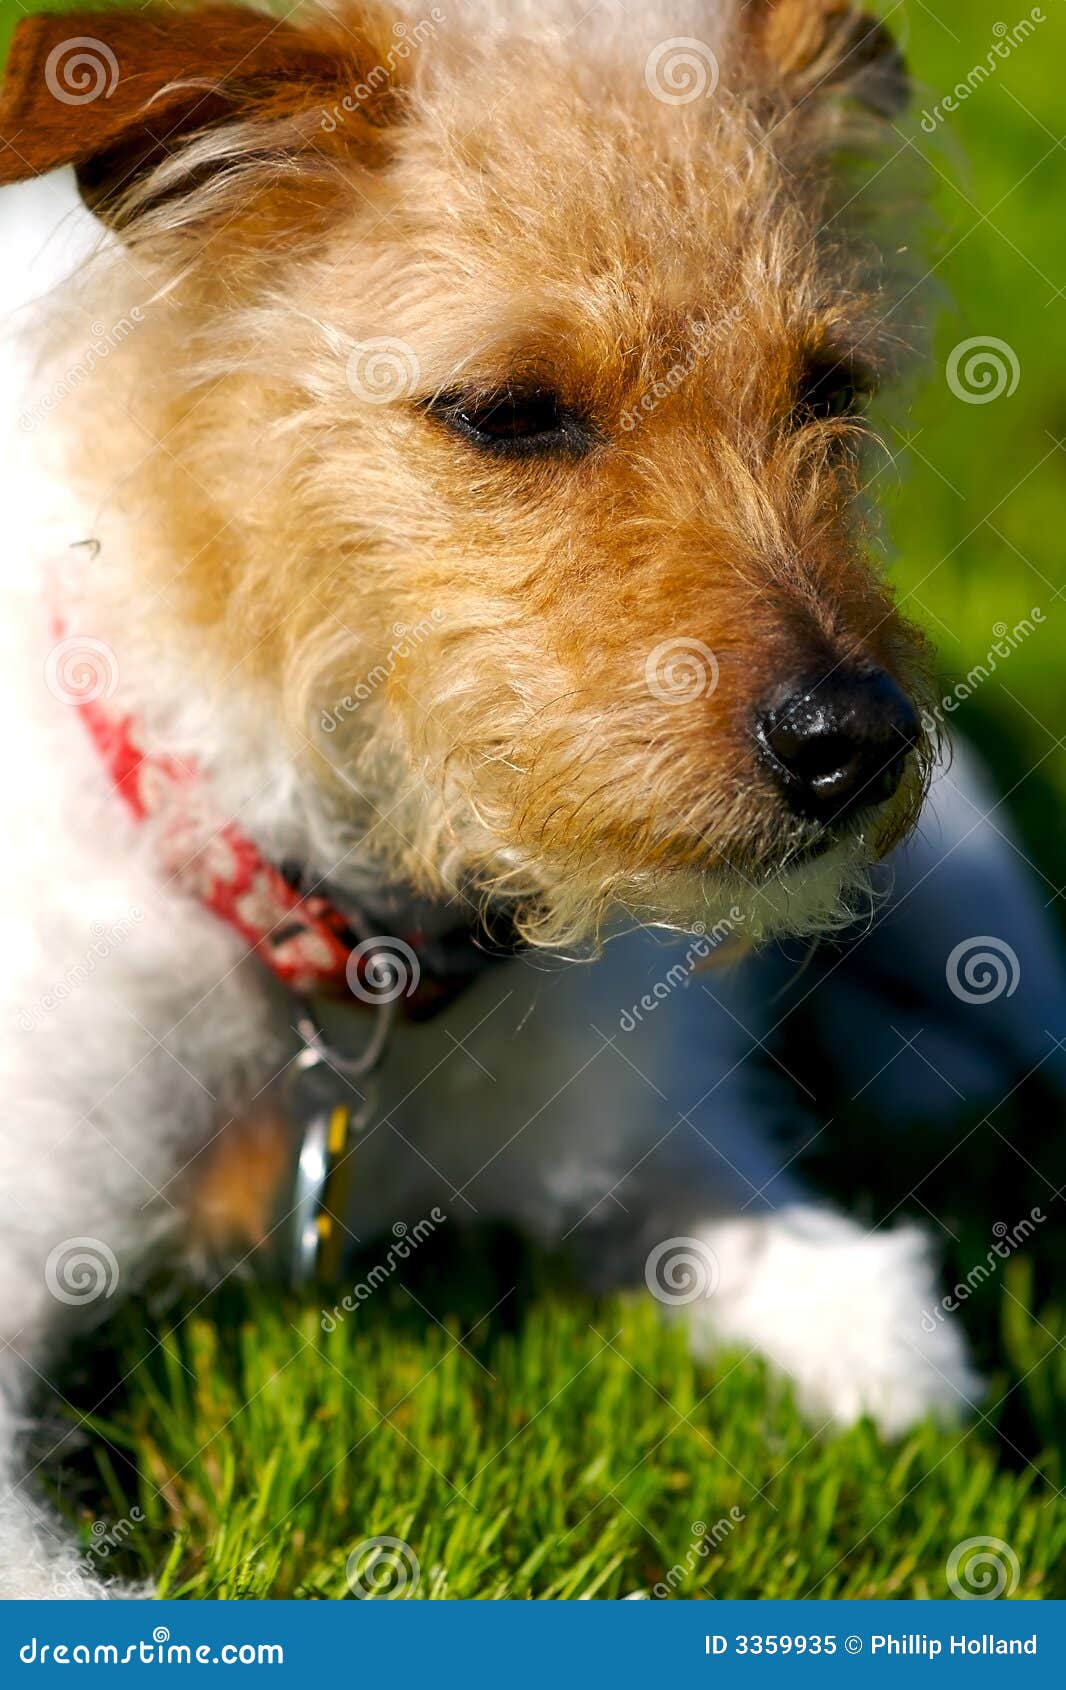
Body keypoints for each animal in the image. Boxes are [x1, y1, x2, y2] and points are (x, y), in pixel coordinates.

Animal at [2, 0, 1060, 1595]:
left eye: (830, 391)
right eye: (508, 415)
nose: (858, 742)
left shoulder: (651, 1138)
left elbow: (866, 1324)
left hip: (971, 886)